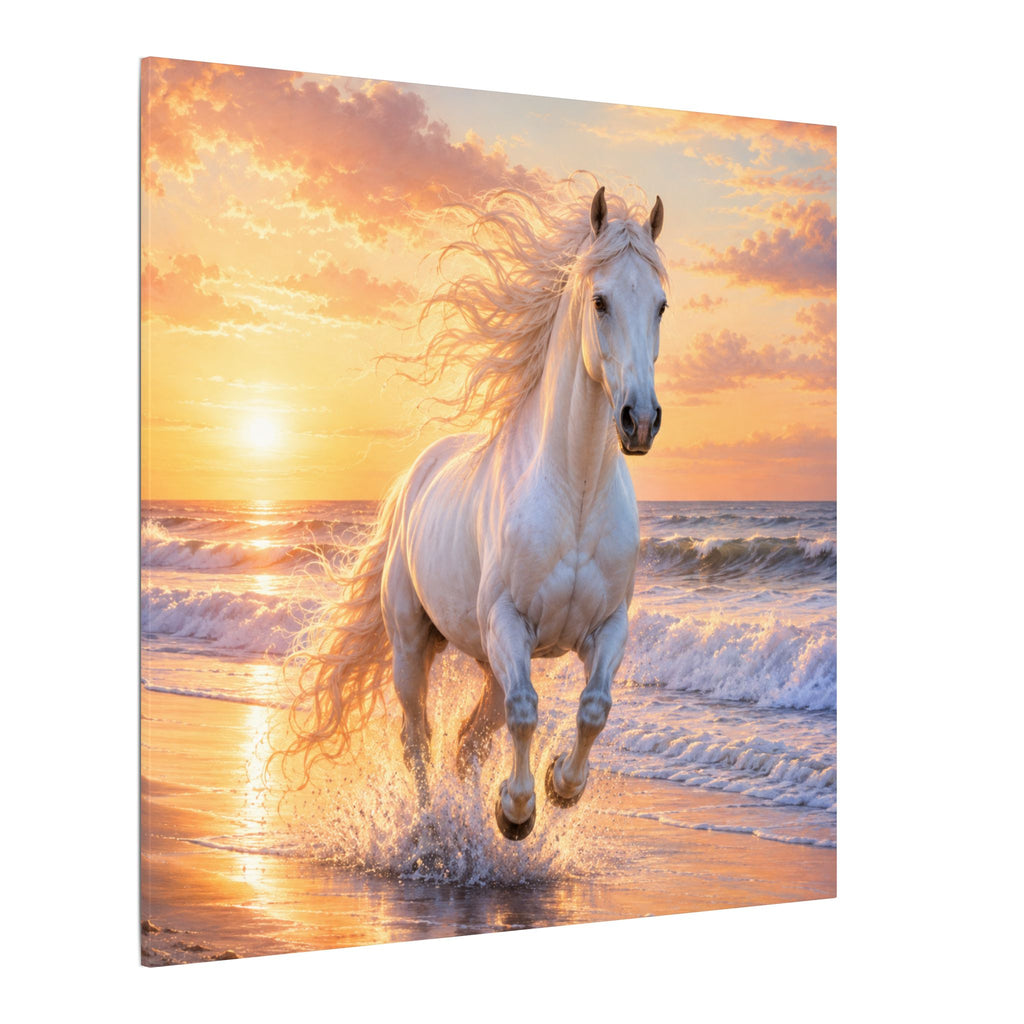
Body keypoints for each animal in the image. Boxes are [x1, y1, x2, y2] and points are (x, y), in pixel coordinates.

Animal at [284, 182, 668, 841]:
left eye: (662, 306)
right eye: (601, 301)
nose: (639, 421)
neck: (575, 496)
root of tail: (413, 479)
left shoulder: (606, 626)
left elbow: (594, 708)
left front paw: (560, 787)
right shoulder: (508, 623)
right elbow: (524, 713)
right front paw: (515, 811)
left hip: (488, 659)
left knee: (467, 743)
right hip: (414, 644)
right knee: (419, 738)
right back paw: (432, 827)